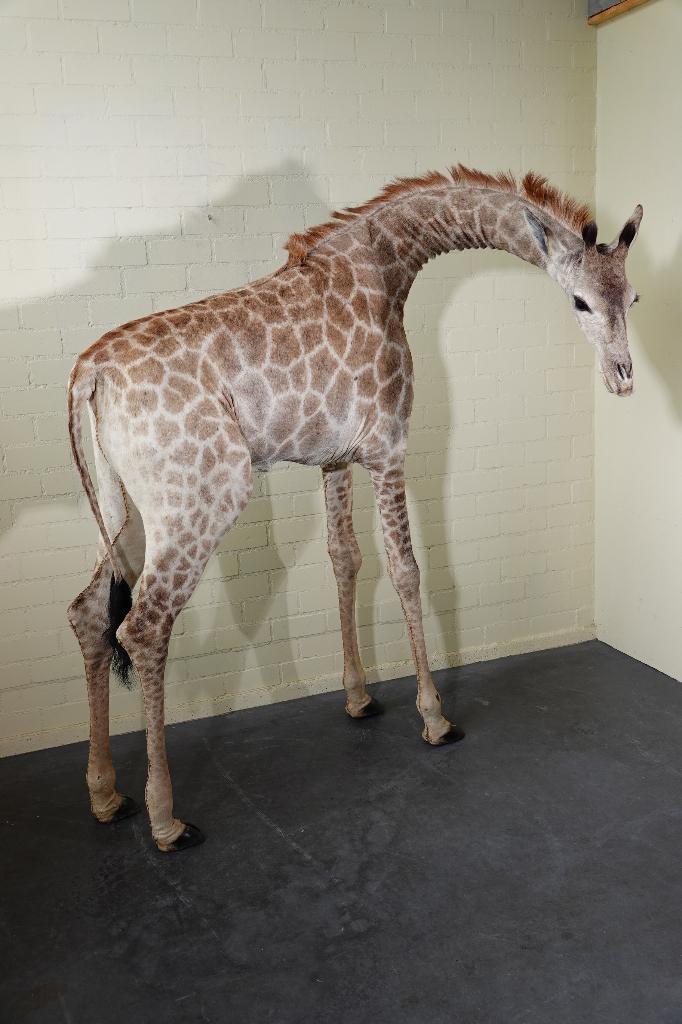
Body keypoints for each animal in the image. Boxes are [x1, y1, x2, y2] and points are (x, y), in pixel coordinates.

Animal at [67, 165, 642, 852]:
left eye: (633, 299)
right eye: (580, 302)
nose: (623, 379)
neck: (390, 265)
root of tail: (88, 375)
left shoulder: (334, 458)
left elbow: (345, 559)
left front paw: (359, 699)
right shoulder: (389, 446)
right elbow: (406, 570)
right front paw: (435, 718)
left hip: (123, 507)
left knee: (88, 611)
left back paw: (106, 796)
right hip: (202, 497)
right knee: (144, 626)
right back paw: (166, 820)